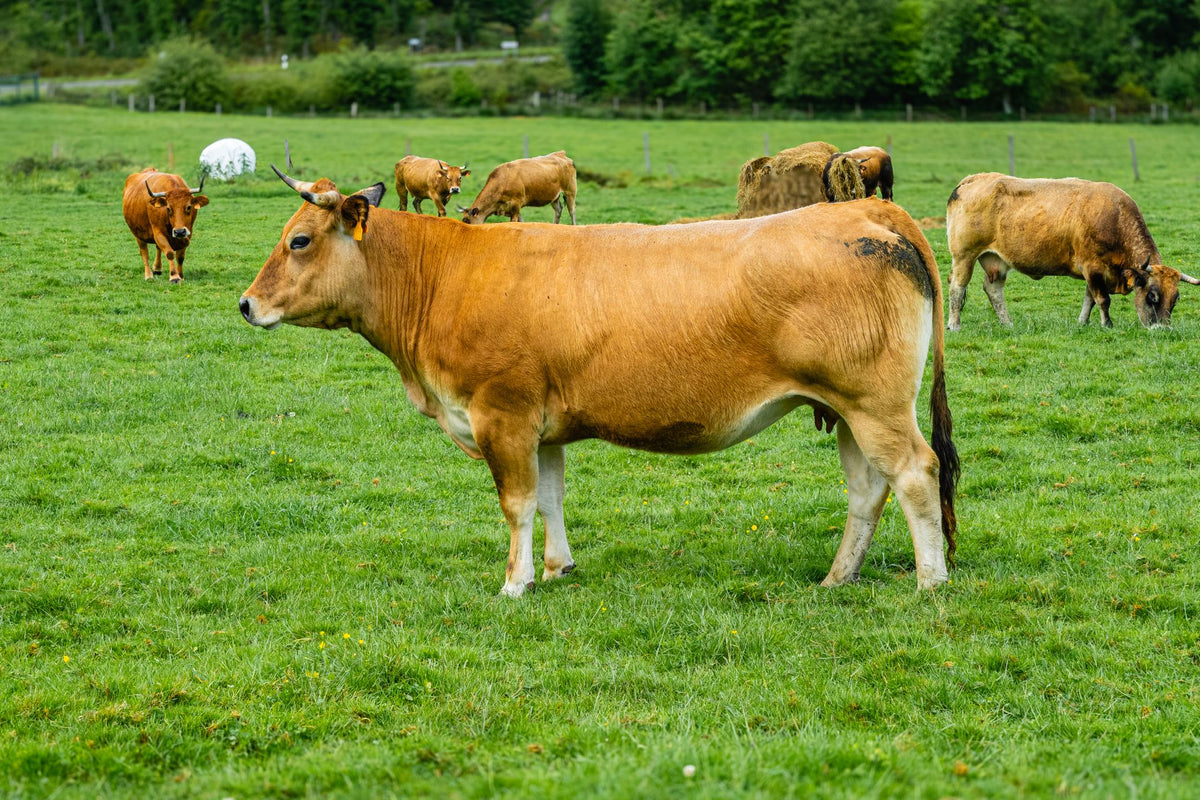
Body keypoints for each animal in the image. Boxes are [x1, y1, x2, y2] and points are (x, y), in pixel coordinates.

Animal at [241, 166, 960, 598]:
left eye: (299, 240)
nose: (247, 304)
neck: (443, 274)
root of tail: (865, 212)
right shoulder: (543, 426)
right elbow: (551, 498)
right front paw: (558, 567)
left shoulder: (502, 416)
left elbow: (517, 503)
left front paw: (515, 583)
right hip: (846, 410)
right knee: (867, 489)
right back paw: (838, 578)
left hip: (875, 405)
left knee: (915, 473)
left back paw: (931, 581)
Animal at [946, 173, 1199, 329]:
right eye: (1152, 296)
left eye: (1175, 299)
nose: (1162, 329)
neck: (1113, 218)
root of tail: (974, 179)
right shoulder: (1092, 267)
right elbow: (1102, 299)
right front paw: (1107, 325)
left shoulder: (1096, 272)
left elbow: (1090, 299)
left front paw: (1083, 322)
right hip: (964, 256)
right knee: (957, 288)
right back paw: (955, 324)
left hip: (996, 261)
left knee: (993, 289)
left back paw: (1007, 324)